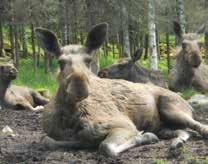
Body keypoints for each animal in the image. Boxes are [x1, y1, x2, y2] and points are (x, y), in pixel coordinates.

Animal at [36, 22, 208, 156]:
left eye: (88, 60)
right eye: (60, 62)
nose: (79, 88)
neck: (70, 117)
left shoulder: (125, 125)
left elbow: (106, 147)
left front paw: (145, 137)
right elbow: (46, 141)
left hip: (171, 109)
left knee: (200, 126)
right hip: (164, 127)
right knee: (185, 132)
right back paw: (176, 143)